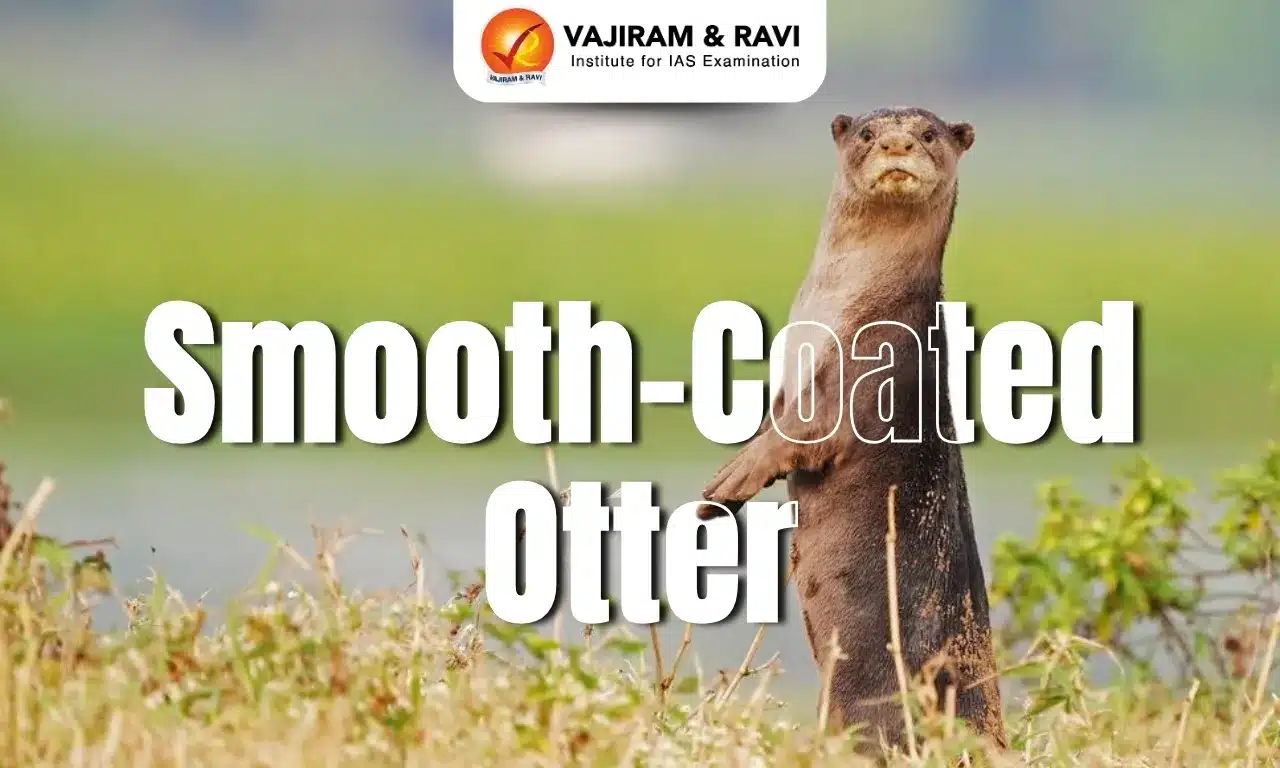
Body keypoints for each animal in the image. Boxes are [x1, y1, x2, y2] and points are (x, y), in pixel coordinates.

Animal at [699, 107, 1005, 750]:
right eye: (868, 133)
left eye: (929, 134)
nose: (897, 144)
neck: (845, 308)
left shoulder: (861, 376)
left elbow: (792, 438)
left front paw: (725, 486)